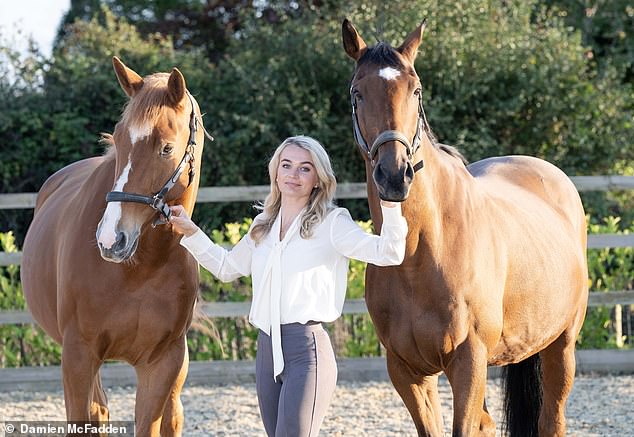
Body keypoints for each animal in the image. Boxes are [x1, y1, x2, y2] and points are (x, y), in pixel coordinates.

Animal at [21, 56, 205, 434]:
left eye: (167, 147)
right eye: (119, 139)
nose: (111, 240)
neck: (141, 271)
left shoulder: (162, 363)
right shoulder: (78, 354)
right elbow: (84, 417)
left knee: (171, 416)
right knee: (99, 410)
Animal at [340, 18, 588, 434]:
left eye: (416, 90)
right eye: (357, 94)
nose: (395, 175)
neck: (420, 252)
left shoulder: (469, 361)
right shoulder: (406, 371)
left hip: (561, 345)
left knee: (552, 418)